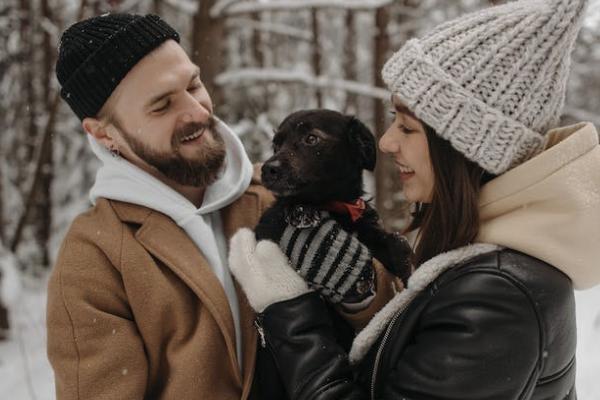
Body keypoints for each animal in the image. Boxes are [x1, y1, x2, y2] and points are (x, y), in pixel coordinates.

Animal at [253, 109, 412, 284]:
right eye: (276, 145)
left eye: (311, 138)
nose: (267, 170)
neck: (334, 207)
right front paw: (299, 210)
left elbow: (396, 242)